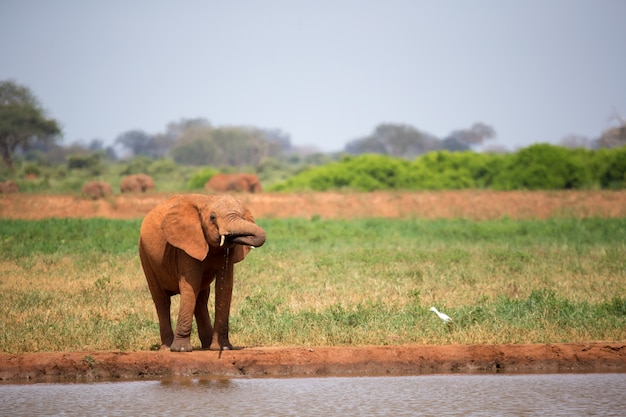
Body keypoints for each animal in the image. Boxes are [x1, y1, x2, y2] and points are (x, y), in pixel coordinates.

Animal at [138, 193, 264, 352]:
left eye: (242, 217)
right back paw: (167, 348)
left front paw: (223, 348)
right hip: (145, 255)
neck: (207, 199)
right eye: (212, 217)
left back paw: (207, 345)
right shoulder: (185, 243)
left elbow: (225, 286)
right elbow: (190, 284)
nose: (232, 235)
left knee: (201, 298)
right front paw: (181, 350)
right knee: (162, 300)